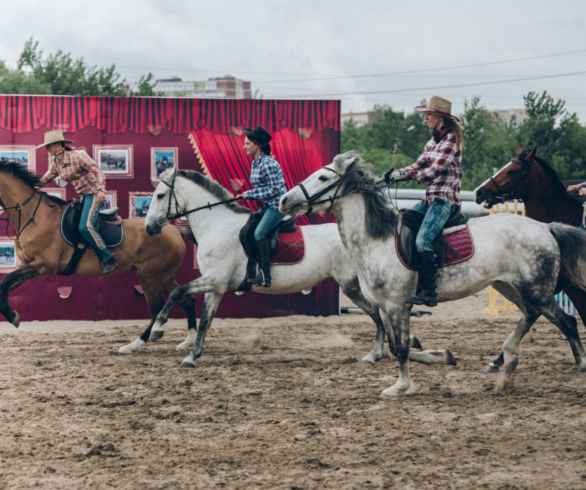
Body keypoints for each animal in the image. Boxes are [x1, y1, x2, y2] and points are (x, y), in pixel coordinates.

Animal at [0, 160, 196, 336]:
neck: (34, 216)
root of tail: (174, 230)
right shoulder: (27, 264)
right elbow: (6, 283)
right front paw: (11, 315)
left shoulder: (44, 265)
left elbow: (6, 280)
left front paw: (13, 317)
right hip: (163, 277)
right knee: (186, 300)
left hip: (151, 277)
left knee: (158, 312)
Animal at [118, 167, 454, 368]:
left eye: (161, 195)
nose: (149, 227)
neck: (217, 225)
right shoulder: (216, 286)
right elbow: (204, 322)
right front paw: (192, 355)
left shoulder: (213, 279)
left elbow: (177, 294)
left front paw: (157, 330)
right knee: (380, 316)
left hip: (354, 286)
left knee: (378, 316)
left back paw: (379, 353)